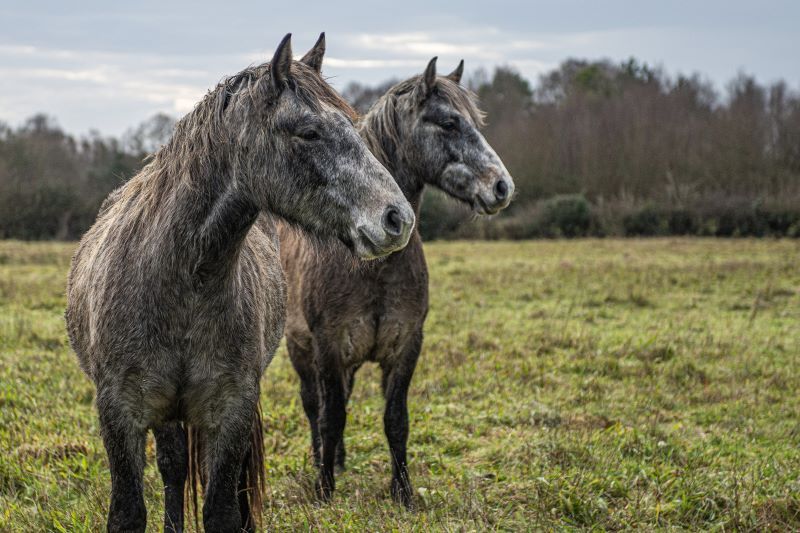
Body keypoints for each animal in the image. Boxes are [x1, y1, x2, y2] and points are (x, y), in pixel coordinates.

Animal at [66, 34, 416, 532]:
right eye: (308, 132)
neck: (180, 285)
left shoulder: (230, 411)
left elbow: (222, 511)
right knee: (173, 470)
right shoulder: (120, 412)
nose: (396, 218)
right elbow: (129, 512)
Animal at [278, 55, 516, 508]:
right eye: (448, 123)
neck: (373, 267)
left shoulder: (406, 345)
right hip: (301, 349)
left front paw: (402, 492)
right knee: (313, 406)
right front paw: (324, 490)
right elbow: (331, 416)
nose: (502, 187)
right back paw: (322, 462)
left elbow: (395, 420)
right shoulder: (329, 347)